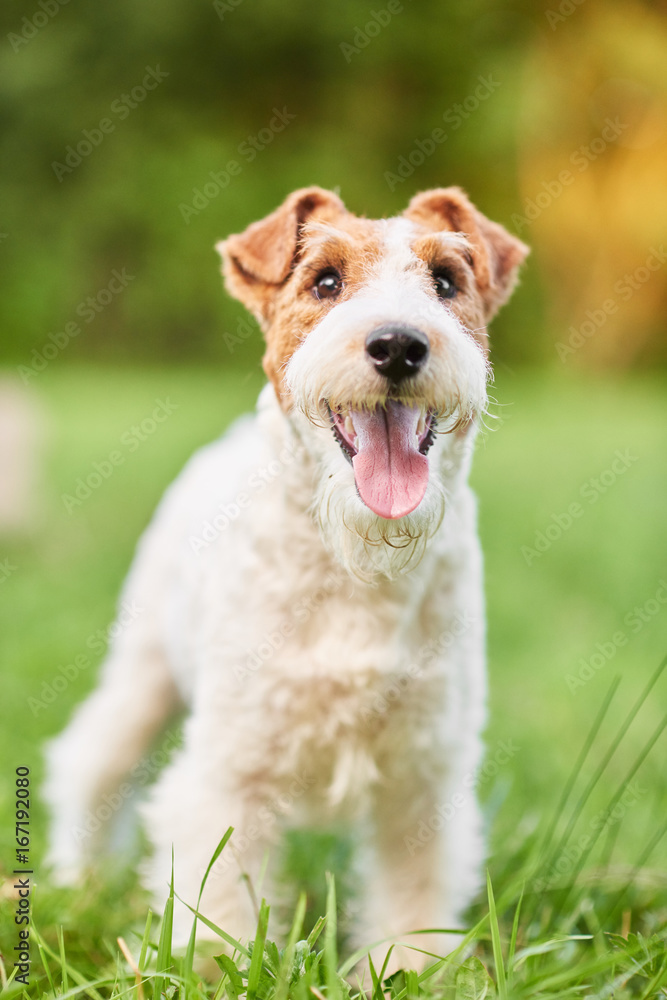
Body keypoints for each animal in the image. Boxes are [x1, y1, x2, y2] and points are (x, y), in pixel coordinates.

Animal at [44, 186, 528, 968]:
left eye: (446, 281)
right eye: (324, 281)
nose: (398, 345)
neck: (358, 568)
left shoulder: (423, 773)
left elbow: (412, 901)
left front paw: (405, 971)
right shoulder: (232, 767)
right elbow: (217, 902)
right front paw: (212, 968)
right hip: (142, 671)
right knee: (92, 761)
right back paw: (77, 882)